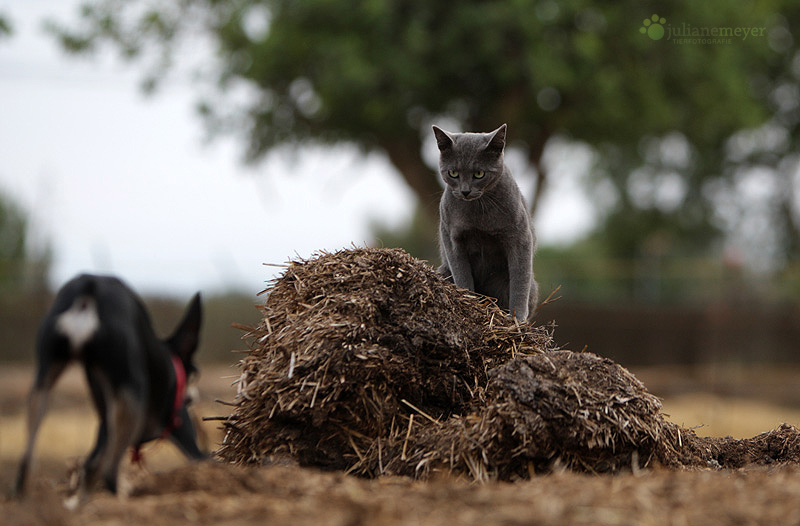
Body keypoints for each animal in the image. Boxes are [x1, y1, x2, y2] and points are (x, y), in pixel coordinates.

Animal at [14, 274, 206, 502]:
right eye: (195, 375)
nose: (194, 397)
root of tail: (91, 284)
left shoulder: (104, 433)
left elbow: (88, 466)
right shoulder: (184, 432)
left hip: (44, 380)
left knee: (28, 461)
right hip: (130, 398)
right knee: (108, 470)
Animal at [434, 124, 540, 322]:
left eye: (479, 174)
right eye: (453, 173)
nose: (465, 191)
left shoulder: (520, 237)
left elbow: (519, 281)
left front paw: (517, 319)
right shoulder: (452, 237)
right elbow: (462, 273)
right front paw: (468, 299)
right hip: (444, 270)